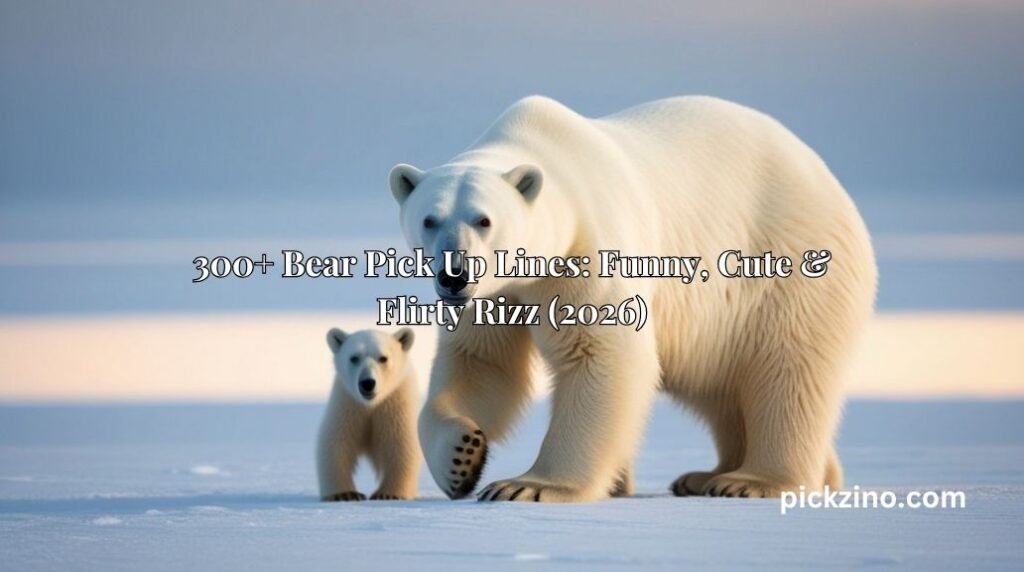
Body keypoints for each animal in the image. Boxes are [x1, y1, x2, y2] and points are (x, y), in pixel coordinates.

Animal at [317, 327, 420, 501]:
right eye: (354, 357)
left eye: (383, 358)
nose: (367, 383)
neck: (371, 405)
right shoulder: (348, 404)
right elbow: (336, 443)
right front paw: (345, 494)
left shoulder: (395, 405)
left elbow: (401, 443)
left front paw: (388, 494)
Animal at [388, 95, 876, 502]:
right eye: (429, 220)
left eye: (484, 220)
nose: (454, 275)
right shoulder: (498, 295)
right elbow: (481, 364)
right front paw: (462, 458)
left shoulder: (588, 250)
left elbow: (603, 353)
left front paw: (528, 486)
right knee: (722, 385)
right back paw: (711, 476)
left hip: (787, 268)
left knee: (786, 370)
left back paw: (751, 480)